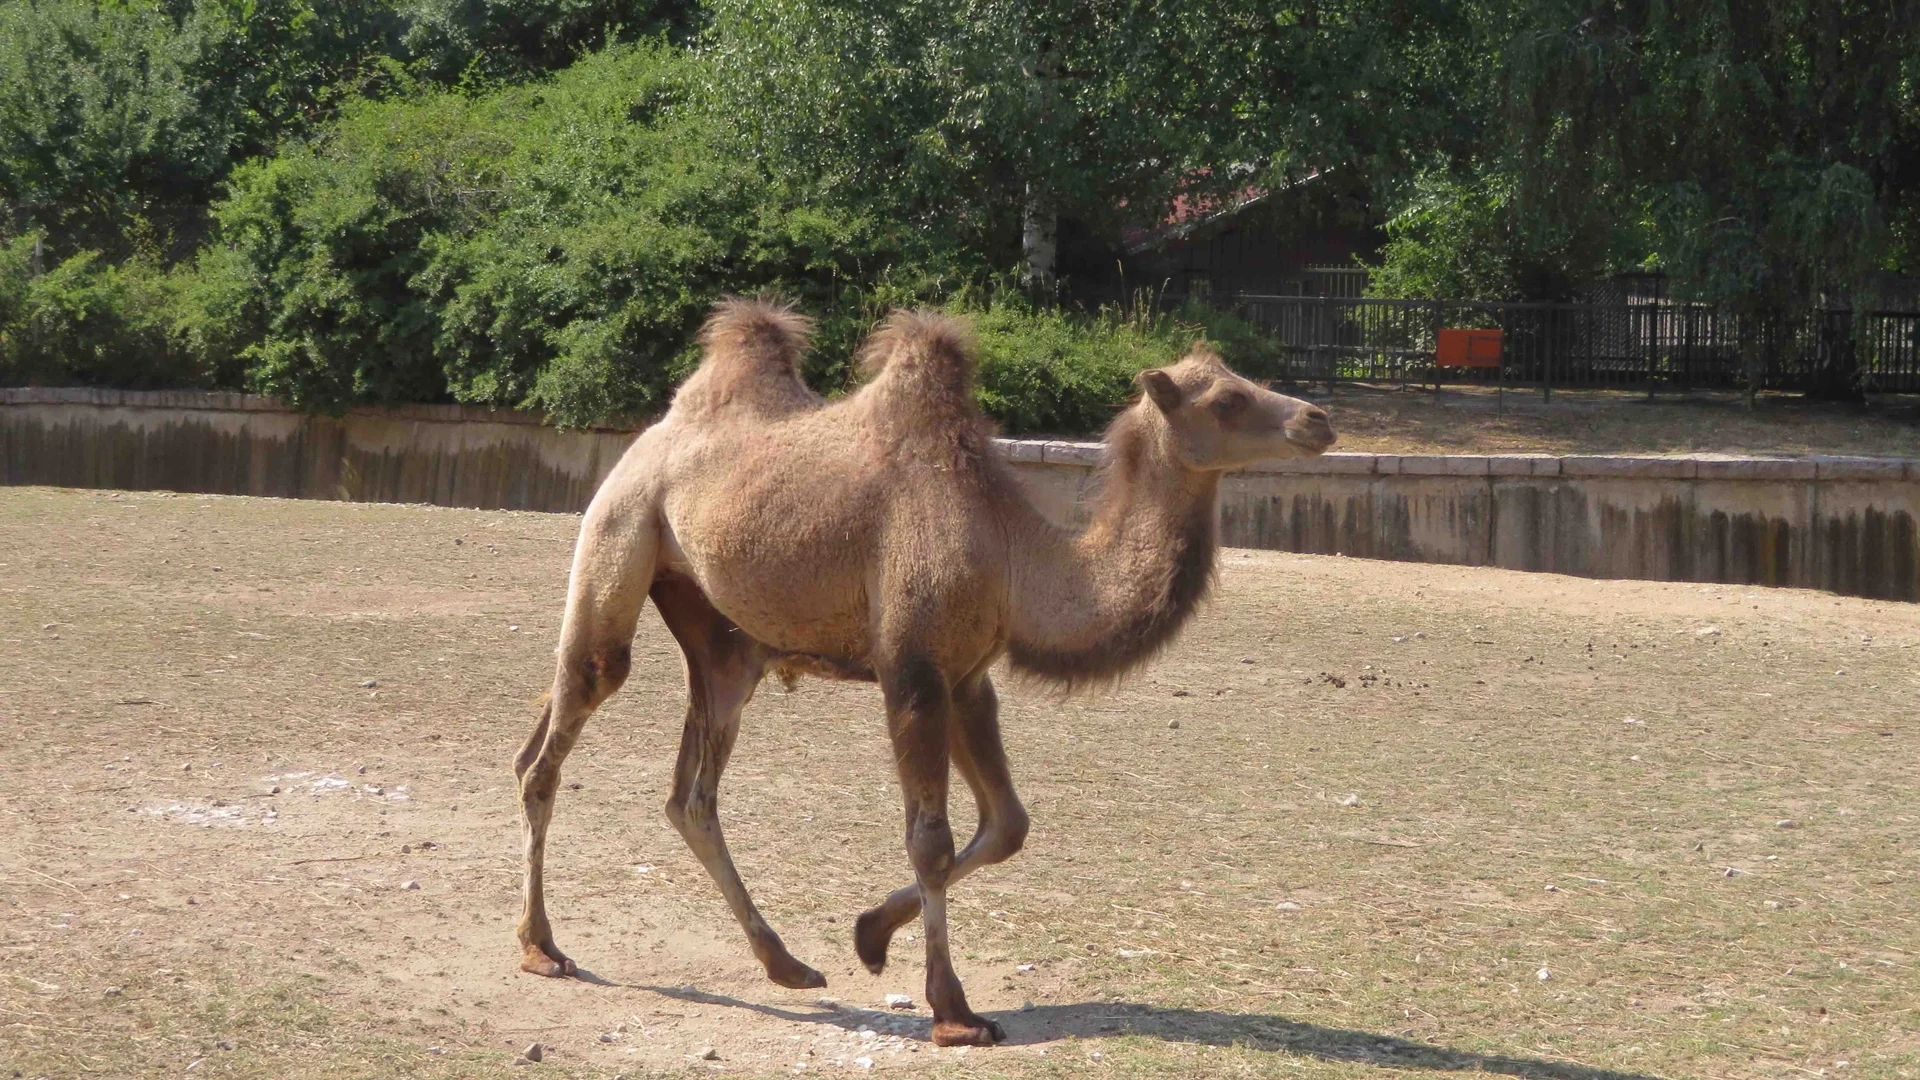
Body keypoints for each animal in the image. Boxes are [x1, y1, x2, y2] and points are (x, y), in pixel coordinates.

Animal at [510, 294, 1336, 1045]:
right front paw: (954, 1011)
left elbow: (1007, 825)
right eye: (1228, 399)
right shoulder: (911, 669)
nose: (1316, 420)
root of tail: (648, 439)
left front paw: (870, 934)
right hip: (621, 532)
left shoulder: (967, 677)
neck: (1014, 553)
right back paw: (543, 947)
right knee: (563, 728)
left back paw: (787, 964)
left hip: (723, 638)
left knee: (689, 793)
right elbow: (931, 839)